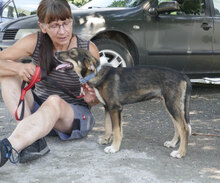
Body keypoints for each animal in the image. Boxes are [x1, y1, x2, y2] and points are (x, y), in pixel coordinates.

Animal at [55, 48, 192, 158]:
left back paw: (180, 153)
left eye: (72, 53)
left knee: (184, 128)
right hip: (170, 105)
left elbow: (116, 130)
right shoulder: (107, 107)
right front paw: (106, 140)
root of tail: (182, 75)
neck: (97, 74)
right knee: (177, 126)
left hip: (172, 105)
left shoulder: (115, 108)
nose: (56, 53)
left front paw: (114, 148)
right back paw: (172, 143)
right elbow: (108, 127)